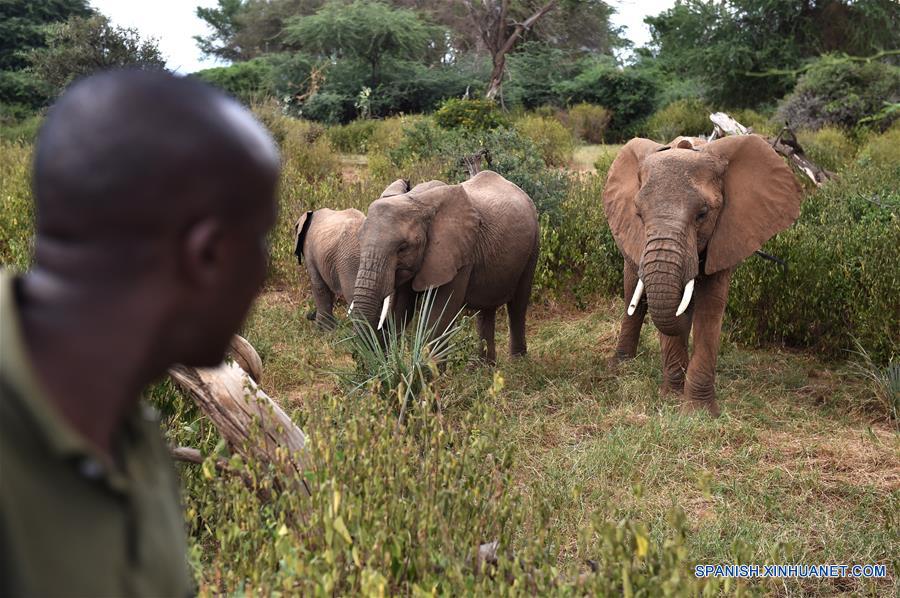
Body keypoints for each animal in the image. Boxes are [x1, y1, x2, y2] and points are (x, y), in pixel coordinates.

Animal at [348, 171, 536, 364]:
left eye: (403, 248)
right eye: (360, 240)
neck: (416, 200)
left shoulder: (458, 254)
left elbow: (440, 312)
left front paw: (429, 371)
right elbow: (401, 309)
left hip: (532, 247)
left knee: (518, 305)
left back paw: (517, 362)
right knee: (486, 308)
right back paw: (484, 366)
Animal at [604, 135, 800, 418]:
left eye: (703, 214)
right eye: (639, 214)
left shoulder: (727, 235)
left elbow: (710, 308)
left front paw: (699, 411)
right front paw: (672, 399)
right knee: (634, 292)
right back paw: (621, 365)